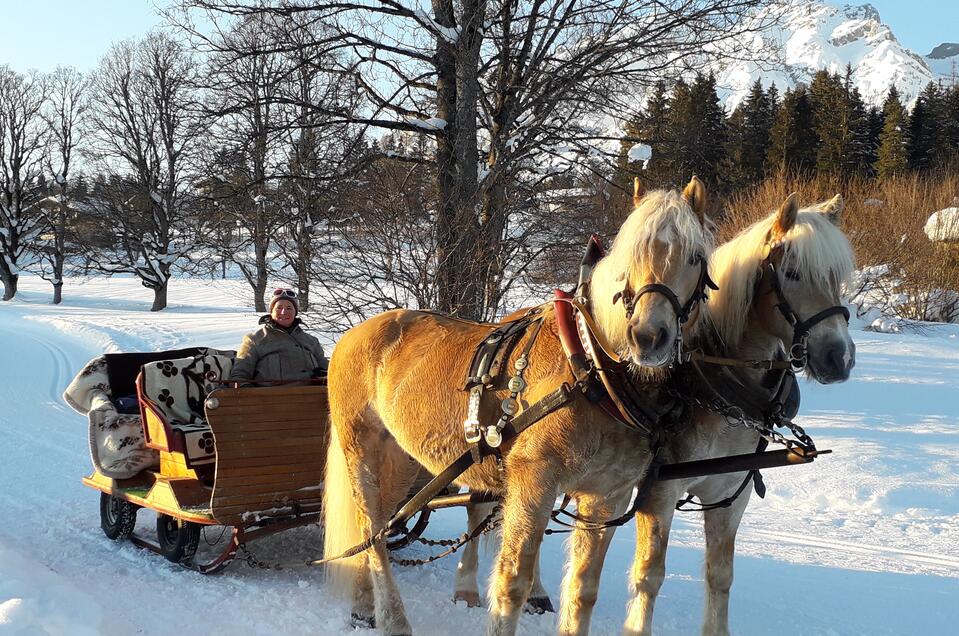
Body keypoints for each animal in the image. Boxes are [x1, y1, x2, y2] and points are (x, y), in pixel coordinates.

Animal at [322, 175, 712, 636]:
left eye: (695, 257)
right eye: (629, 257)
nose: (648, 337)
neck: (590, 367)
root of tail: (354, 335)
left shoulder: (607, 496)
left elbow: (583, 591)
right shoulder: (533, 481)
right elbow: (512, 584)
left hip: (400, 458)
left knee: (377, 527)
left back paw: (365, 607)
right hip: (361, 448)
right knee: (373, 533)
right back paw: (394, 620)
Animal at [628, 191, 860, 632]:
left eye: (837, 276)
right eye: (792, 272)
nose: (839, 357)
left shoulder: (730, 496)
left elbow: (720, 575)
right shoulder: (658, 492)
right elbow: (648, 577)